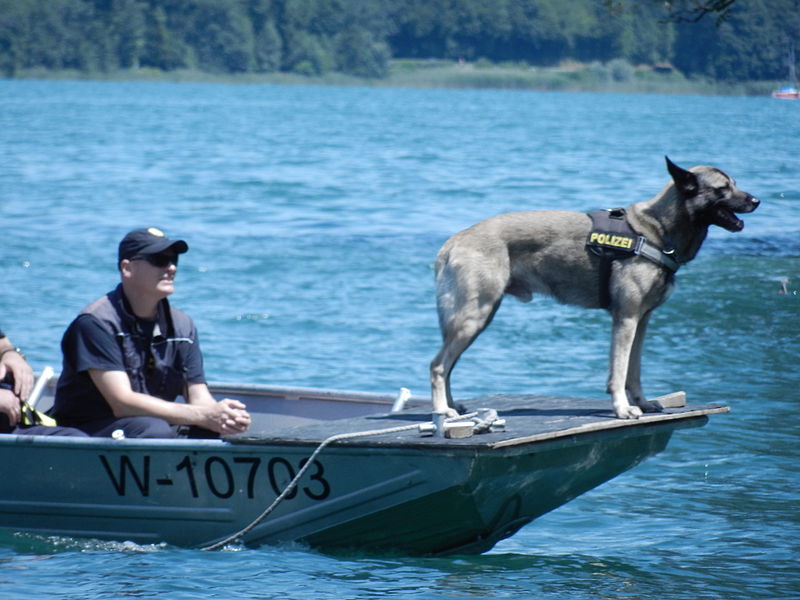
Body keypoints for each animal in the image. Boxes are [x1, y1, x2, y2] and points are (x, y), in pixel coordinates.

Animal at [428, 157, 760, 420]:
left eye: (734, 184)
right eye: (723, 189)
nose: (756, 201)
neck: (655, 232)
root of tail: (454, 241)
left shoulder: (642, 321)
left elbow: (634, 371)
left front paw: (642, 403)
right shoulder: (625, 319)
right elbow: (619, 371)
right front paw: (623, 408)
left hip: (474, 319)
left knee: (448, 365)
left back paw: (452, 406)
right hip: (474, 317)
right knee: (438, 366)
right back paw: (442, 411)